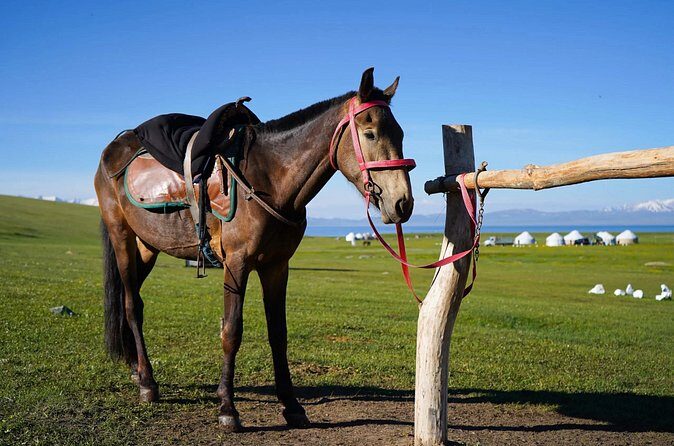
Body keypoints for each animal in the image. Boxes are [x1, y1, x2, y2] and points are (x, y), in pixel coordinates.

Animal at [94, 68, 414, 431]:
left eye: (400, 133)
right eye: (370, 133)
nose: (402, 203)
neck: (270, 179)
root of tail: (113, 148)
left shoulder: (276, 265)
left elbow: (279, 333)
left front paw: (292, 406)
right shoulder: (236, 263)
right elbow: (231, 331)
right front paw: (227, 408)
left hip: (147, 247)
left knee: (131, 297)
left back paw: (136, 369)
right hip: (121, 236)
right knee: (132, 305)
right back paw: (148, 383)